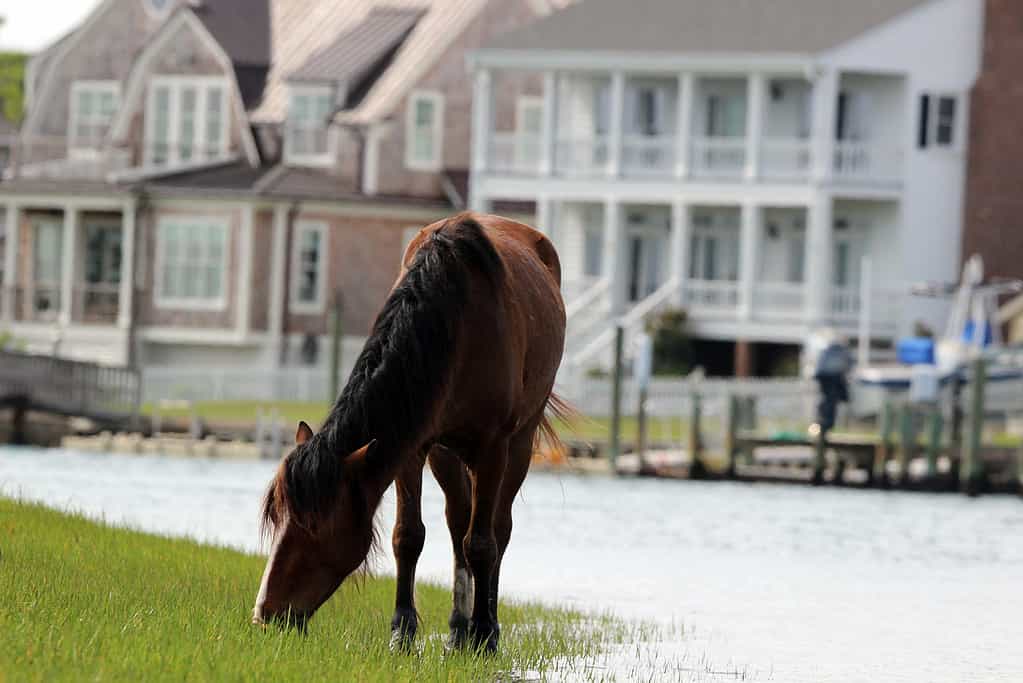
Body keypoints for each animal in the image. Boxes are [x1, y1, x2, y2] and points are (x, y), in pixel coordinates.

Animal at [253, 212, 566, 653]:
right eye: (276, 517)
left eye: (313, 526)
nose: (265, 613)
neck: (455, 325)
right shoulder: (411, 446)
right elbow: (409, 536)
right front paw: (403, 630)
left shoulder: (493, 447)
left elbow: (483, 542)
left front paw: (484, 633)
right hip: (445, 453)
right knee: (458, 522)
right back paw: (457, 627)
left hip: (520, 442)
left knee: (496, 529)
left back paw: (483, 626)